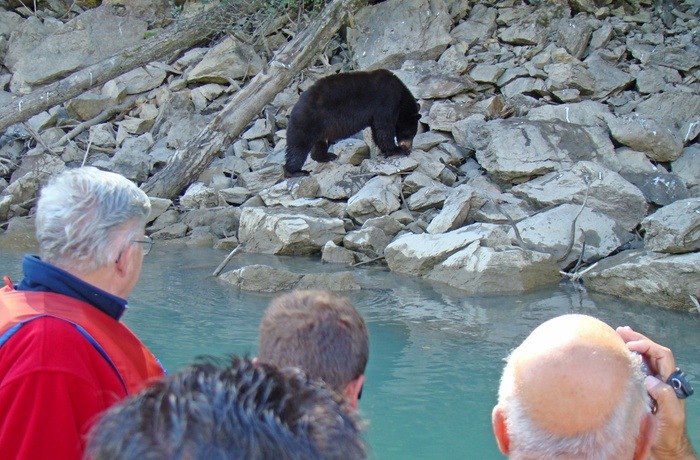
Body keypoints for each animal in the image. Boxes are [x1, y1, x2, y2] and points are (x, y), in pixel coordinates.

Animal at [284, 68, 422, 176]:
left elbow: (377, 131)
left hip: (322, 128)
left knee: (320, 143)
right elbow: (384, 128)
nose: (409, 148)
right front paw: (397, 149)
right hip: (308, 121)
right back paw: (295, 171)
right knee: (298, 146)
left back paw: (327, 156)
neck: (401, 98)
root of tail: (294, 108)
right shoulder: (386, 103)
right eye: (411, 134)